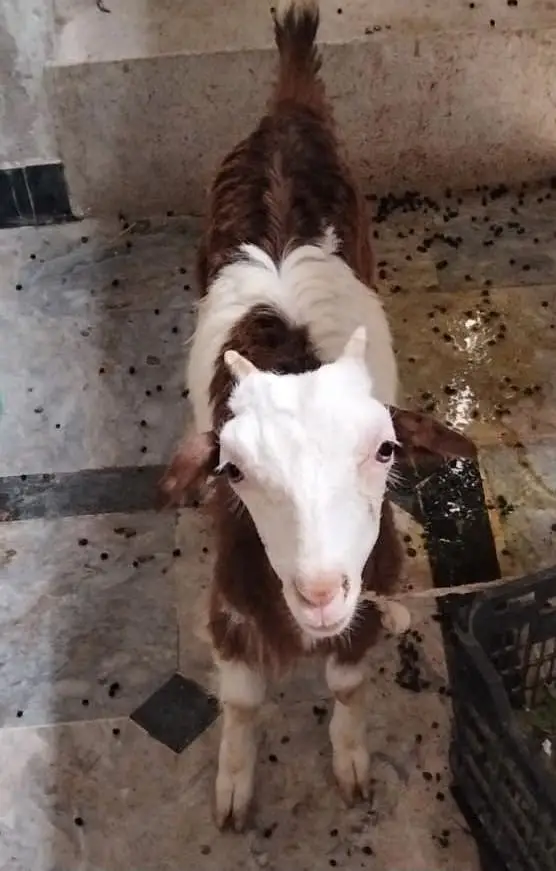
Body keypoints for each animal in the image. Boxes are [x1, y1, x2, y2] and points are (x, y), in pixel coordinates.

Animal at [162, 0, 475, 831]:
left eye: (386, 450)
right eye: (234, 469)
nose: (321, 590)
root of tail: (289, 107)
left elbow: (348, 683)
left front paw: (352, 763)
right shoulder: (233, 594)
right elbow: (240, 699)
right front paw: (234, 790)